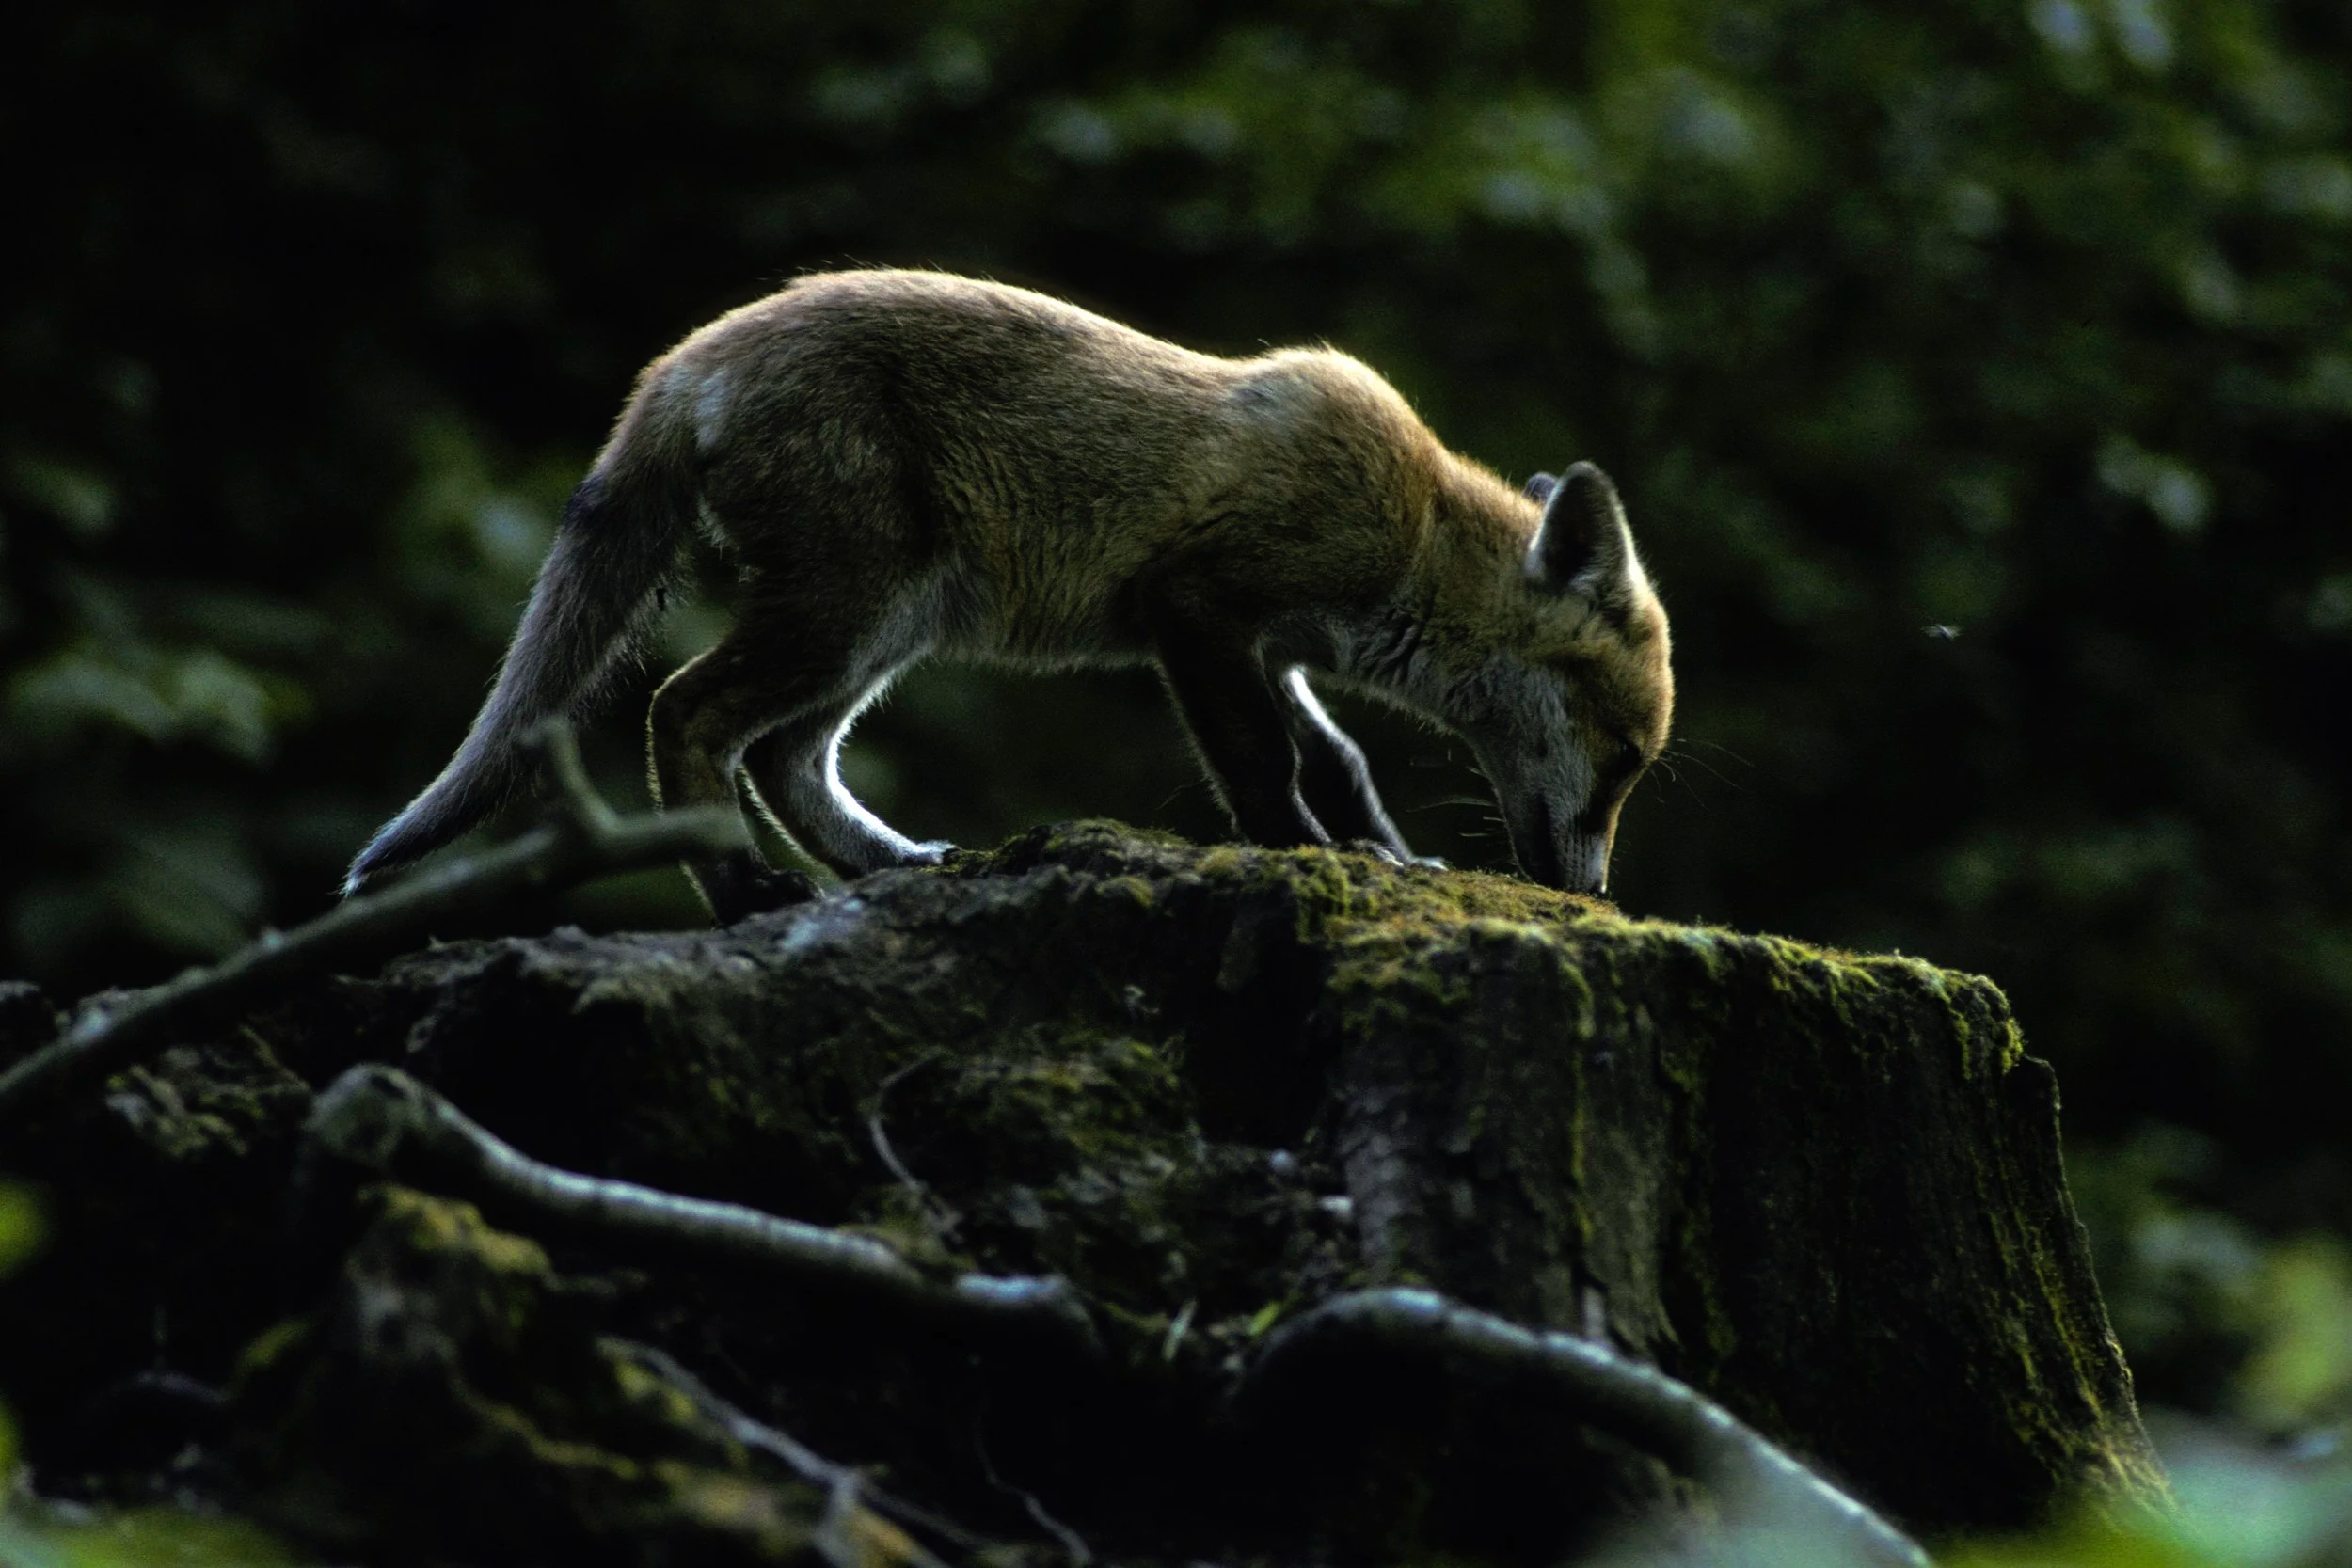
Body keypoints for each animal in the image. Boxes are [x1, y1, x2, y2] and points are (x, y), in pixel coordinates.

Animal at [345, 269, 1673, 921]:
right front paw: (1308, 859)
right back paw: (740, 887)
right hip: (849, 607)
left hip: (891, 625)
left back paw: (890, 864)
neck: (1411, 528)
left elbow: (1339, 761)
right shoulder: (1196, 608)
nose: (1593, 893)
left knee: (783, 755)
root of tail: (688, 355)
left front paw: (1381, 851)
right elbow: (1266, 769)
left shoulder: (1274, 646)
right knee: (687, 712)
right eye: (1624, 761)